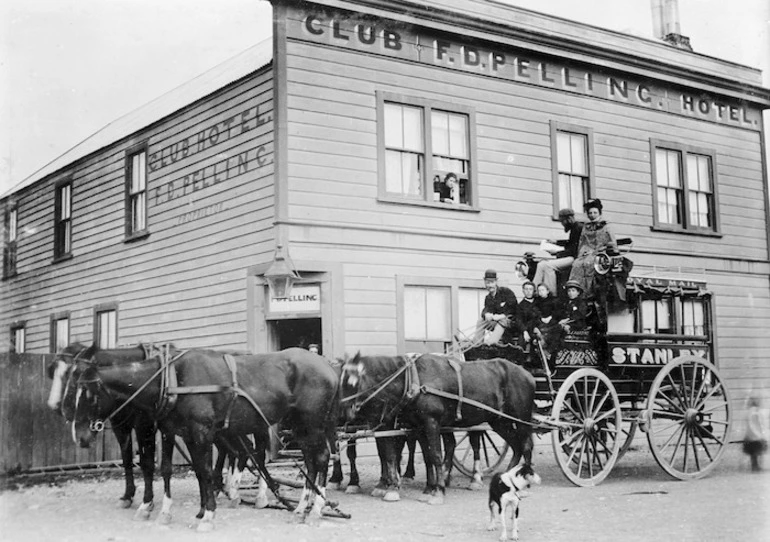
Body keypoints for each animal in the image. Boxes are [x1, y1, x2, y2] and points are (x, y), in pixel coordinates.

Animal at [67, 348, 338, 532]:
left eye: (89, 394)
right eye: (73, 392)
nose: (79, 437)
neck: (172, 379)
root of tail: (328, 366)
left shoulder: (201, 432)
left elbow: (206, 472)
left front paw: (208, 515)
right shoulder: (174, 432)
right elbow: (176, 469)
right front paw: (170, 512)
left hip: (312, 425)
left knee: (321, 458)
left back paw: (315, 509)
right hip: (300, 426)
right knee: (310, 461)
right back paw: (301, 510)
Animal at [342, 354, 536, 504]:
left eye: (350, 383)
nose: (344, 413)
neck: (413, 380)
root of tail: (528, 374)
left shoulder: (431, 422)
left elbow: (435, 455)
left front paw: (438, 491)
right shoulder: (419, 427)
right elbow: (427, 456)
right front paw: (429, 488)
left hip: (521, 419)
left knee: (526, 446)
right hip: (499, 421)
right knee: (516, 446)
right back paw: (509, 480)